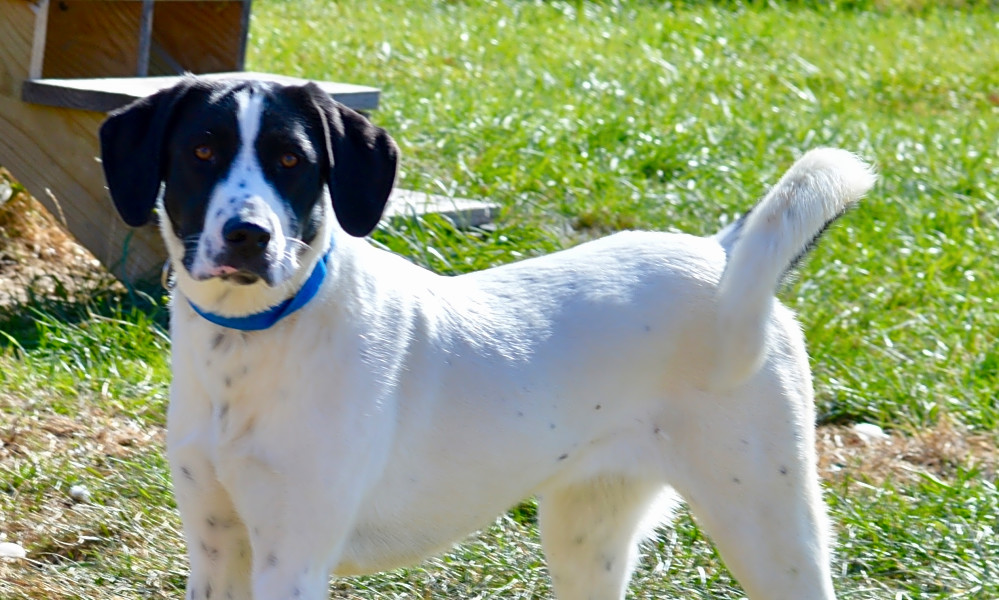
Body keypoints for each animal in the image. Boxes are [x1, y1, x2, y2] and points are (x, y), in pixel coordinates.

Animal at [95, 76, 876, 600]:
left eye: (292, 161)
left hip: (771, 527)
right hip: (586, 533)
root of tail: (722, 251)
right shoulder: (217, 548)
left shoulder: (292, 559)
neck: (255, 341)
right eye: (201, 151)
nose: (248, 236)